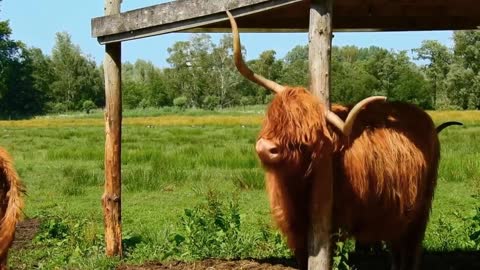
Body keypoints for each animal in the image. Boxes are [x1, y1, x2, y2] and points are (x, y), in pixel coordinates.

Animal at [229, 10, 462, 270]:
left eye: (304, 135)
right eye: (272, 118)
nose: (265, 148)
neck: (296, 188)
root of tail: (424, 118)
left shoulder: (334, 225)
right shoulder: (294, 228)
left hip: (420, 211)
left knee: (412, 248)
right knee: (397, 248)